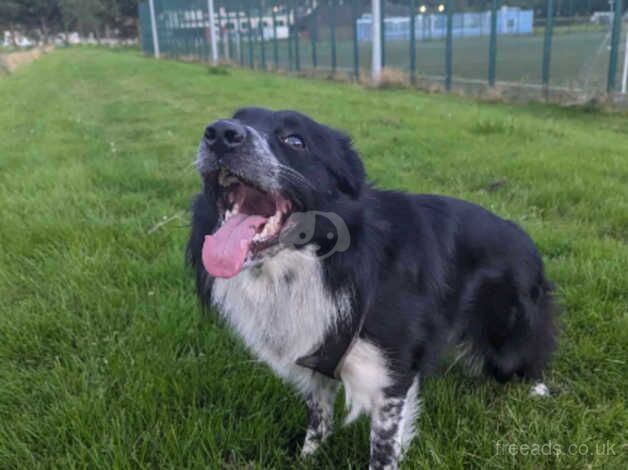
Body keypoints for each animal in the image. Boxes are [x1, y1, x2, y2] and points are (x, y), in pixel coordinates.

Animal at [185, 107, 556, 470]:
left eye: (295, 140)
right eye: (236, 117)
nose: (220, 134)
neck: (322, 263)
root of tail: (524, 237)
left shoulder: (390, 378)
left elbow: (383, 448)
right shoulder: (318, 352)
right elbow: (318, 418)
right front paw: (307, 457)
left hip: (509, 330)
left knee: (528, 350)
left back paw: (538, 388)